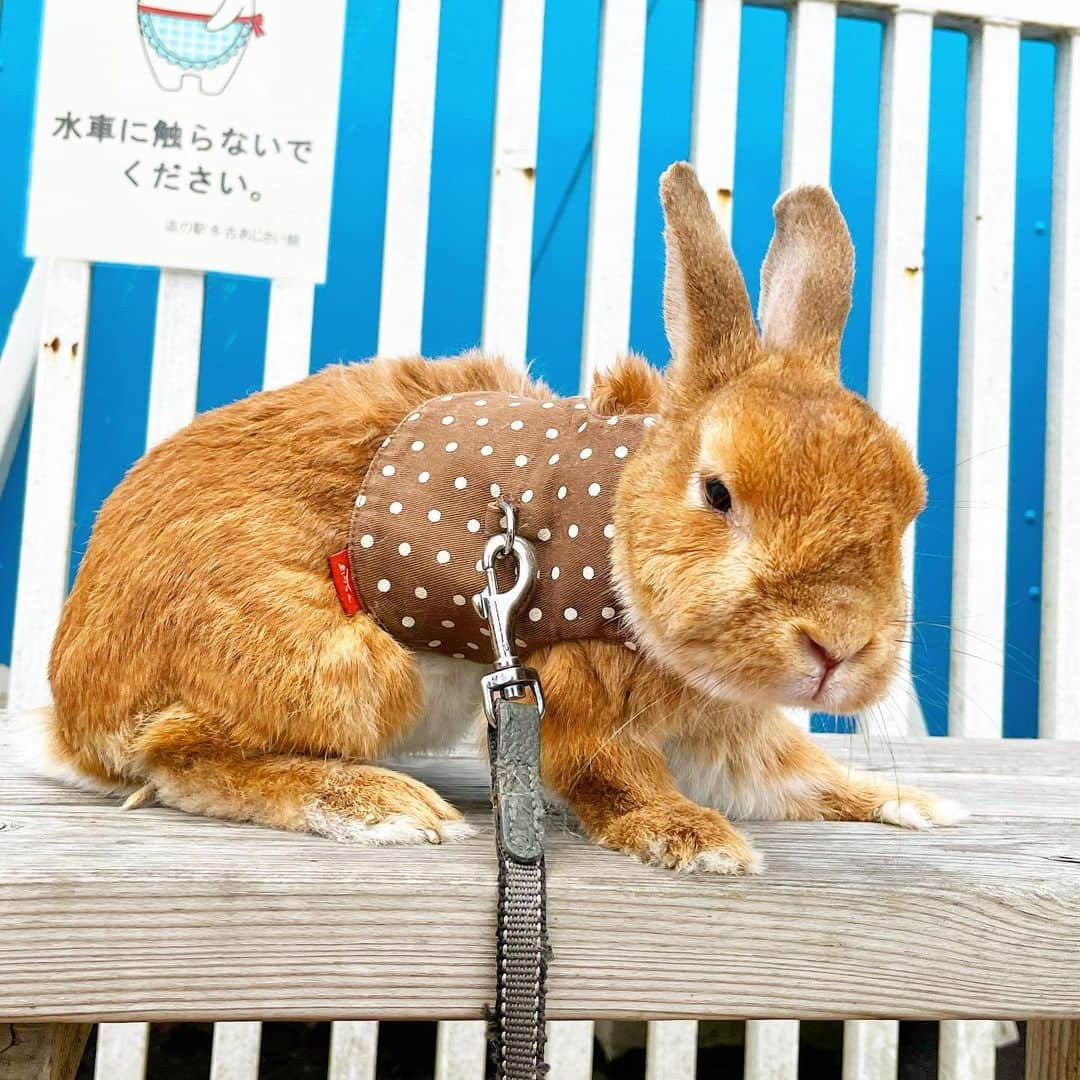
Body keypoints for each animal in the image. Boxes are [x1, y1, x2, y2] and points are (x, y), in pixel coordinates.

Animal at [31, 166, 963, 876]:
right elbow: (614, 776)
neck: (616, 529)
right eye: (719, 492)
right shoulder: (570, 692)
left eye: (909, 504)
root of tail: (72, 711)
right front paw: (698, 841)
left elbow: (797, 777)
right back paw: (382, 805)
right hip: (355, 666)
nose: (837, 647)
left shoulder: (728, 729)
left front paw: (915, 804)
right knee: (176, 753)